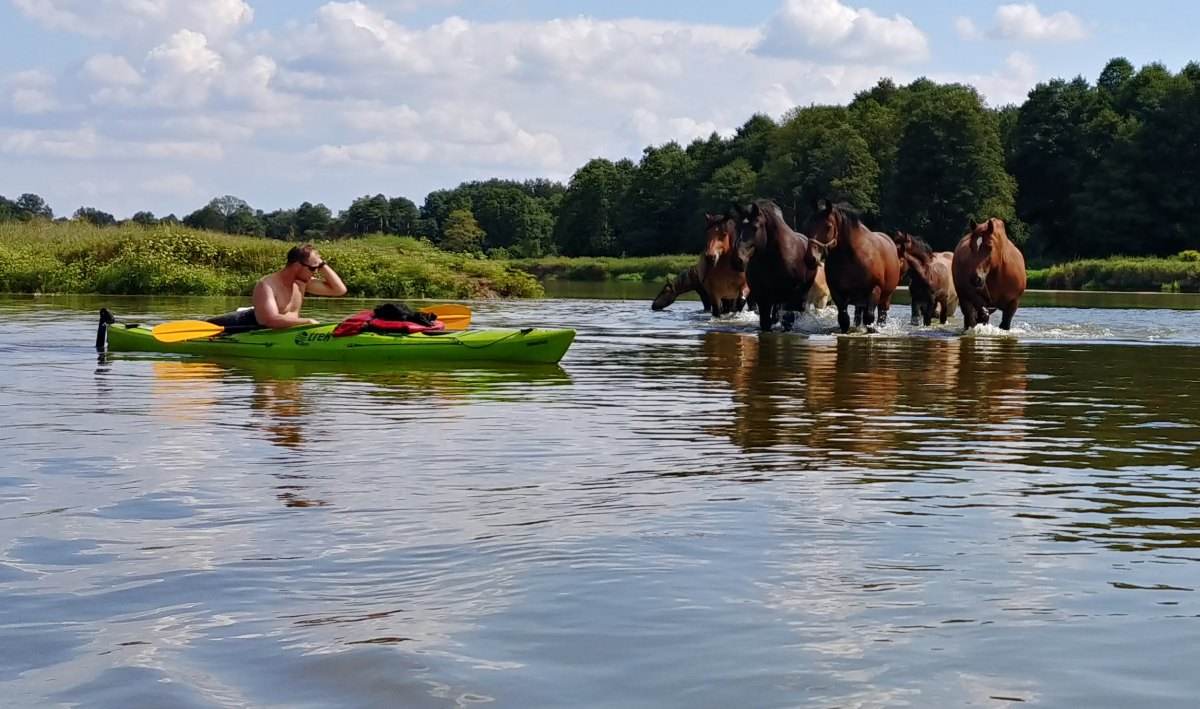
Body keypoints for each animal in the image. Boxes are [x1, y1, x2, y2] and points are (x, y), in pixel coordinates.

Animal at [729, 199, 825, 333]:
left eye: (755, 227)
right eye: (738, 227)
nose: (738, 260)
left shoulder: (790, 296)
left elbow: (787, 318)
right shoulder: (763, 297)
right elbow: (766, 322)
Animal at [801, 199, 897, 333]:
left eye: (828, 226)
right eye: (808, 224)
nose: (811, 258)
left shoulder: (874, 290)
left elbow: (869, 317)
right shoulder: (837, 293)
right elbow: (843, 318)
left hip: (885, 297)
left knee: (881, 315)